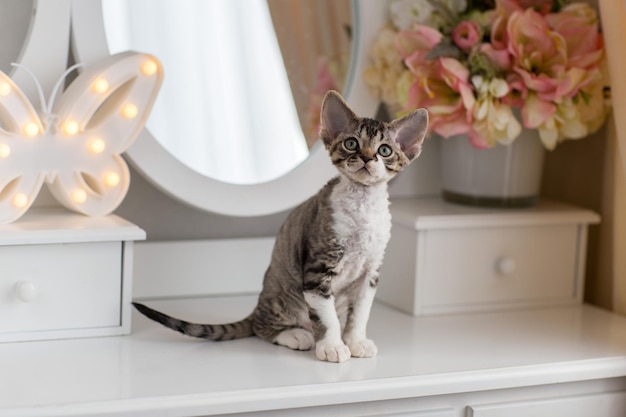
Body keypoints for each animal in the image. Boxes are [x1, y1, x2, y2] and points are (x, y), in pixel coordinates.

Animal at [130, 90, 424, 360]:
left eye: (384, 150)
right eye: (352, 143)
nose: (366, 157)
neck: (363, 204)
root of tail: (258, 304)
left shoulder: (370, 271)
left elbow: (361, 312)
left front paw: (356, 341)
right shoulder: (317, 269)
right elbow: (325, 316)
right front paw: (332, 346)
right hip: (285, 296)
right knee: (263, 327)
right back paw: (296, 335)